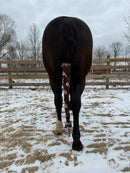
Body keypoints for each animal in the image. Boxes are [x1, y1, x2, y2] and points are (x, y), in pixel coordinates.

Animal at [42, 16, 92, 151]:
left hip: (54, 78)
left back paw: (60, 129)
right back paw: (76, 140)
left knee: (58, 100)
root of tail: (67, 22)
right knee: (75, 102)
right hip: (79, 78)